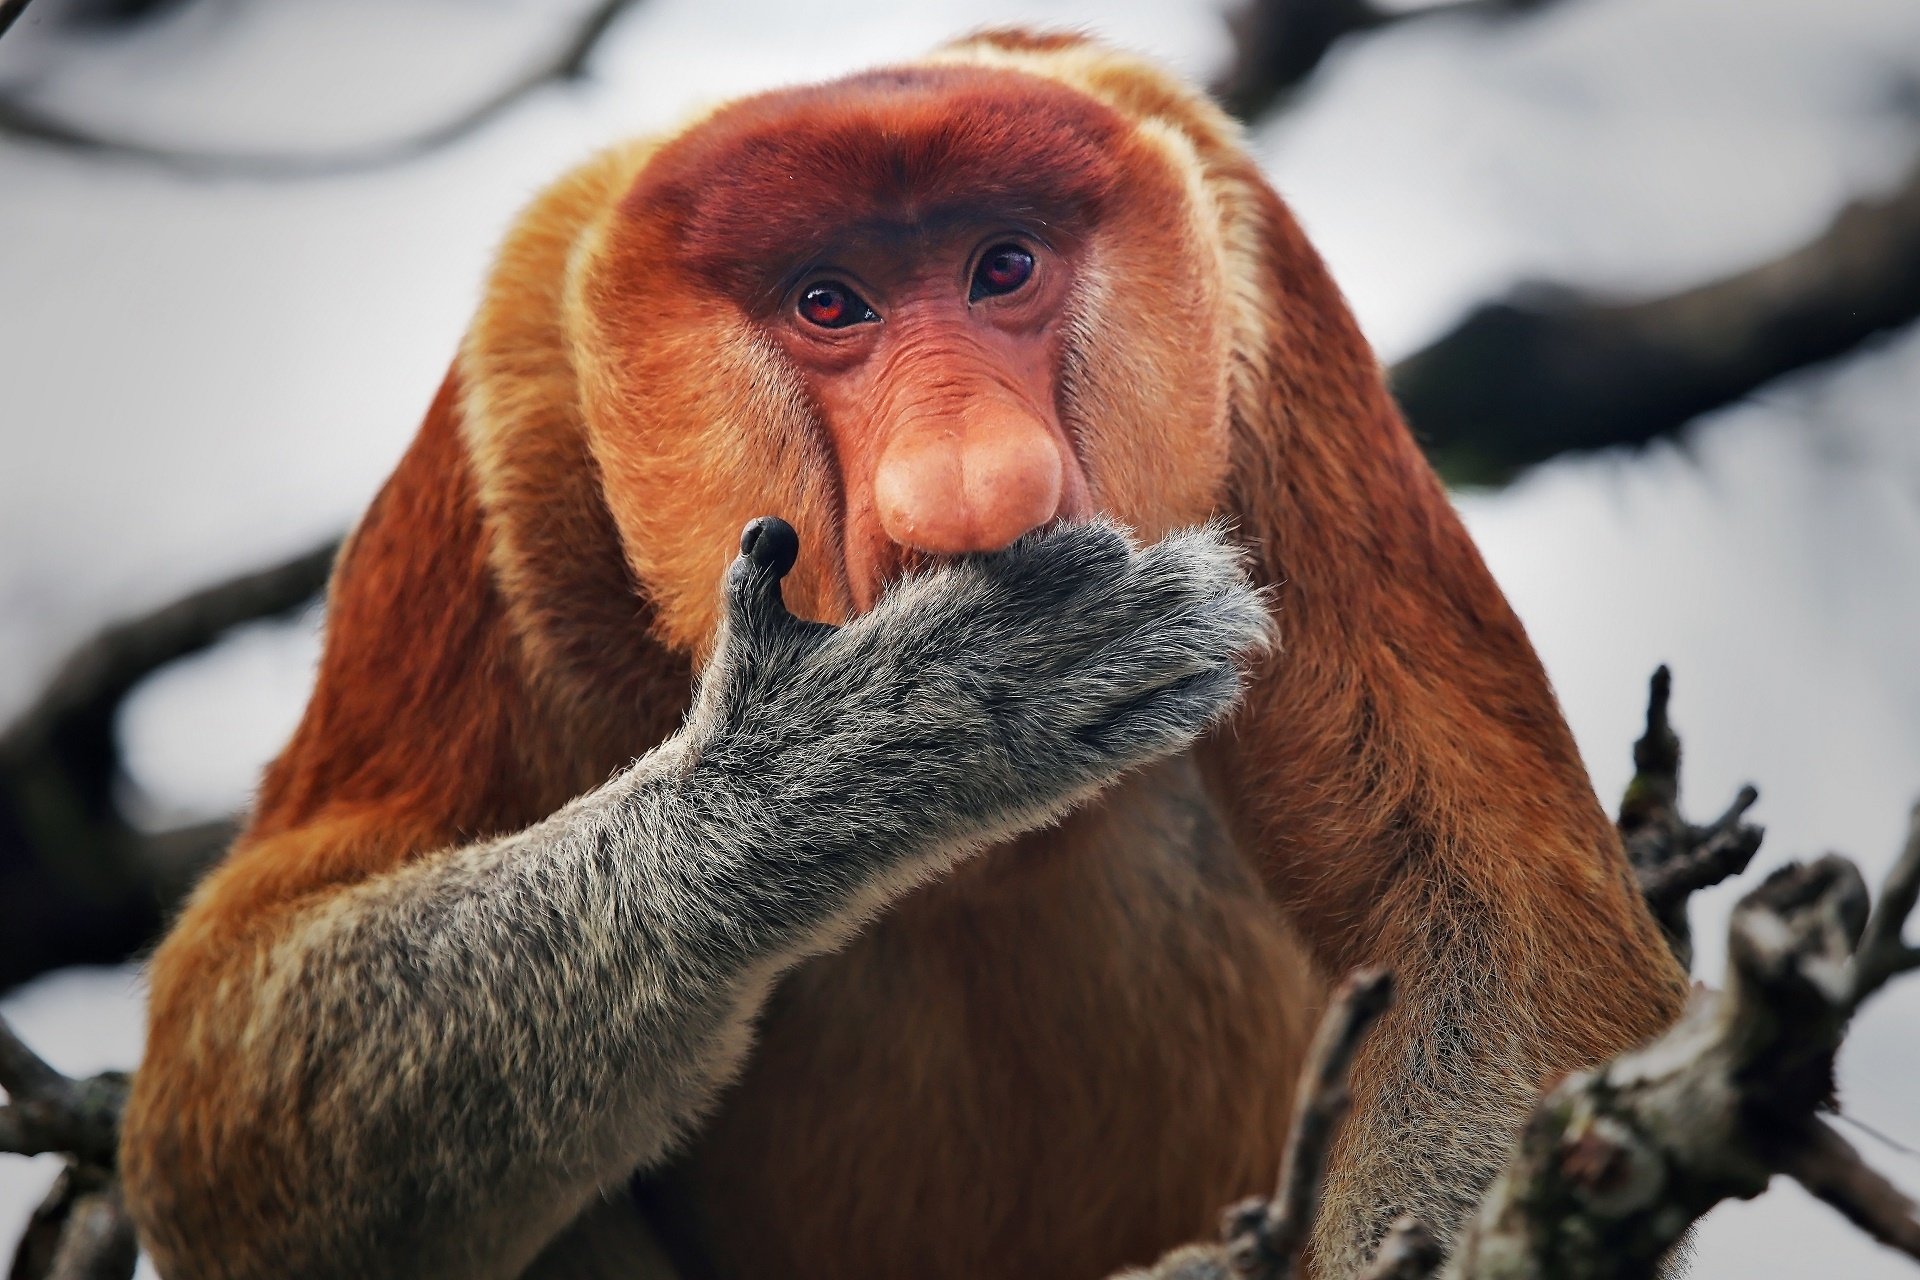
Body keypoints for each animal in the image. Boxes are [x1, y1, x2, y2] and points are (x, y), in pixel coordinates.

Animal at [118, 27, 1690, 1280]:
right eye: (831, 302)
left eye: (1004, 266)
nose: (976, 488)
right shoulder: (512, 419)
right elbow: (224, 1098)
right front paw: (911, 730)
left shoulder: (1258, 286)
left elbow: (1499, 941)